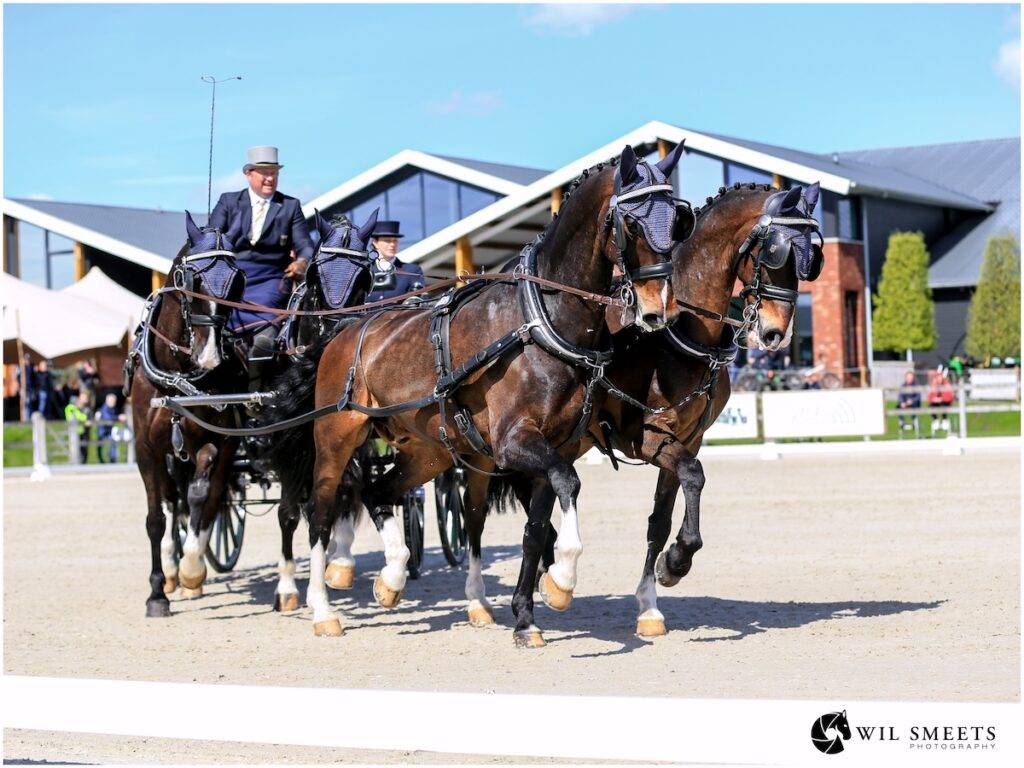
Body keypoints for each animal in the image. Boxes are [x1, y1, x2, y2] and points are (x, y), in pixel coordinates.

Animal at [130, 212, 247, 618]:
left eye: (237, 280)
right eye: (190, 279)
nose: (210, 357)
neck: (176, 375)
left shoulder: (215, 440)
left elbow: (201, 498)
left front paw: (193, 570)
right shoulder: (146, 450)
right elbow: (156, 518)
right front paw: (156, 592)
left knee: (207, 501)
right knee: (171, 501)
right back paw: (169, 572)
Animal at [270, 143, 690, 645]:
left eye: (677, 218)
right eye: (631, 222)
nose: (657, 309)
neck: (539, 319)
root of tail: (342, 329)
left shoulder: (553, 446)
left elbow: (537, 526)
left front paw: (526, 616)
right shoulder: (515, 444)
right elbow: (569, 485)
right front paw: (562, 580)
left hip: (429, 451)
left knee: (377, 492)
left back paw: (391, 578)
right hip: (336, 438)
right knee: (321, 510)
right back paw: (321, 606)